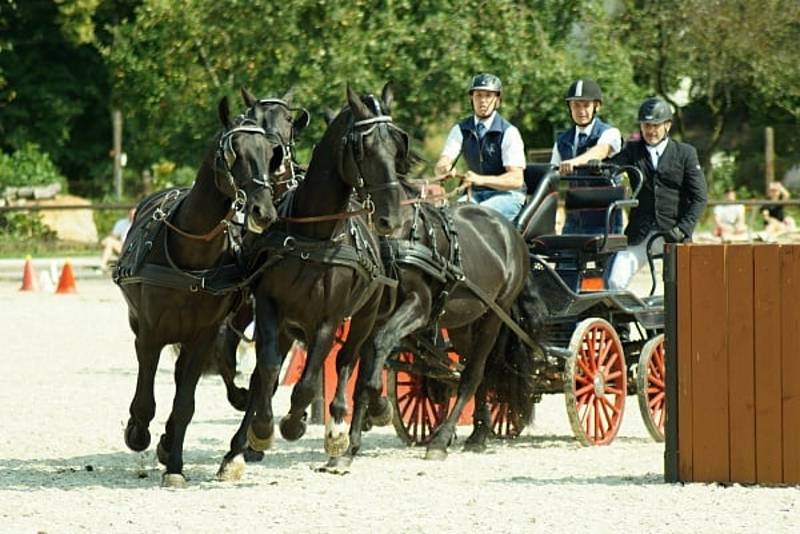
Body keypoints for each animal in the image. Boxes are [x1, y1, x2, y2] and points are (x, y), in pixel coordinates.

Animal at [117, 92, 292, 490]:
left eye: (269, 153)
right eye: (233, 151)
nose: (263, 210)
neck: (192, 251)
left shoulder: (203, 333)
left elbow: (185, 404)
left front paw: (175, 465)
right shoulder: (150, 332)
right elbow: (145, 399)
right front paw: (138, 433)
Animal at [217, 84, 412, 482]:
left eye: (398, 145)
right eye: (363, 147)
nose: (392, 218)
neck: (314, 235)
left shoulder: (329, 317)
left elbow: (308, 382)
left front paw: (296, 424)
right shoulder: (269, 306)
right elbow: (267, 370)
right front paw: (258, 433)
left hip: (366, 316)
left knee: (353, 364)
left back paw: (343, 438)